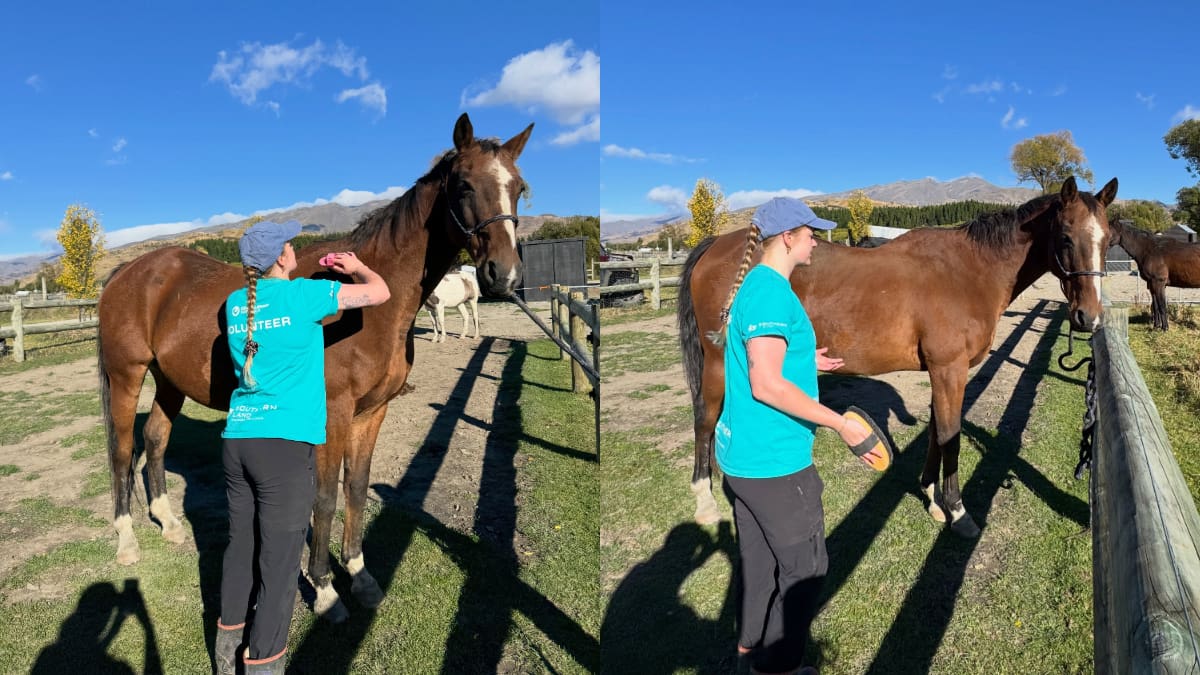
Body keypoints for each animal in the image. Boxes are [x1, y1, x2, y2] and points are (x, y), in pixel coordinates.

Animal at [96, 113, 532, 622]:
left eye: (519, 187)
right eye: (464, 185)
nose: (504, 276)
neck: (369, 306)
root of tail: (128, 271)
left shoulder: (371, 413)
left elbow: (356, 490)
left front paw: (360, 576)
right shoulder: (334, 414)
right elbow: (324, 499)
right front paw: (325, 589)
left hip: (169, 381)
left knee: (155, 440)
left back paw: (169, 523)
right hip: (127, 376)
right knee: (123, 451)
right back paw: (127, 541)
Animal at [678, 177, 1117, 538]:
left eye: (1108, 239)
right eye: (1065, 237)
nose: (1089, 316)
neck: (969, 271)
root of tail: (718, 245)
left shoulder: (942, 373)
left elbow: (937, 434)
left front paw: (932, 498)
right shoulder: (950, 369)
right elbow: (950, 437)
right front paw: (958, 512)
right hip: (716, 362)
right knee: (705, 419)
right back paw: (705, 501)